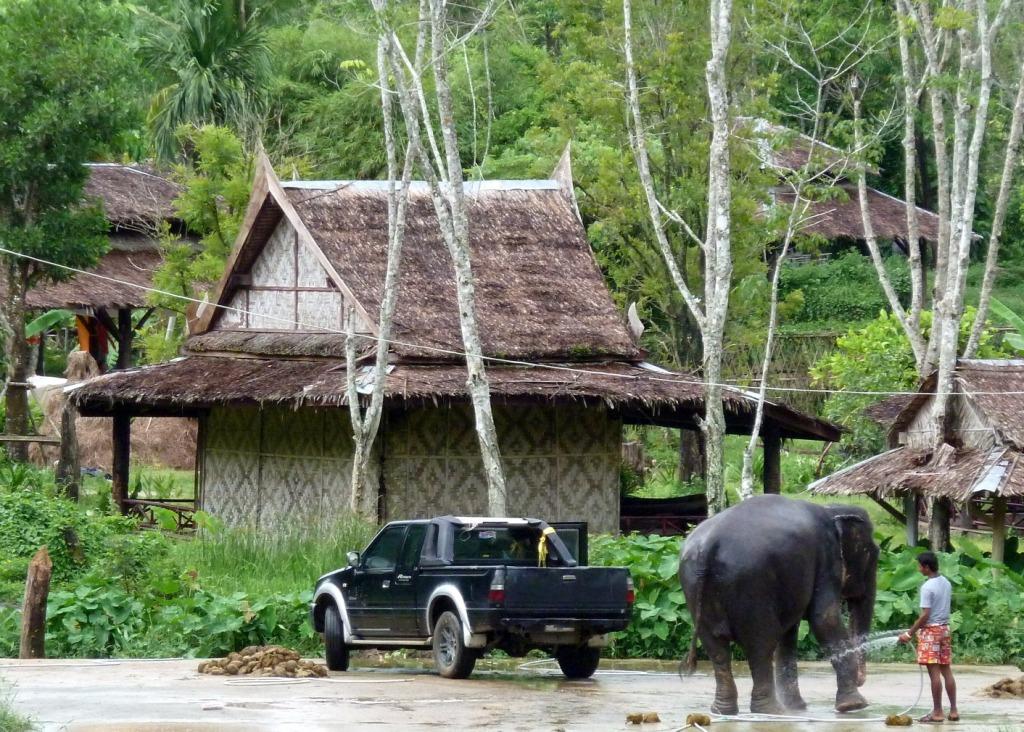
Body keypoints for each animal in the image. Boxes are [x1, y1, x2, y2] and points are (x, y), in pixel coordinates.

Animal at [679, 493, 880, 716]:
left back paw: (724, 711)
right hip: (752, 586)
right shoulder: (827, 559)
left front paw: (798, 708)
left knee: (717, 649)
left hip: (693, 586)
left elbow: (790, 634)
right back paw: (771, 710)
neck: (832, 508)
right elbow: (824, 619)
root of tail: (709, 545)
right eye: (874, 553)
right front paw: (854, 706)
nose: (861, 680)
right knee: (761, 644)